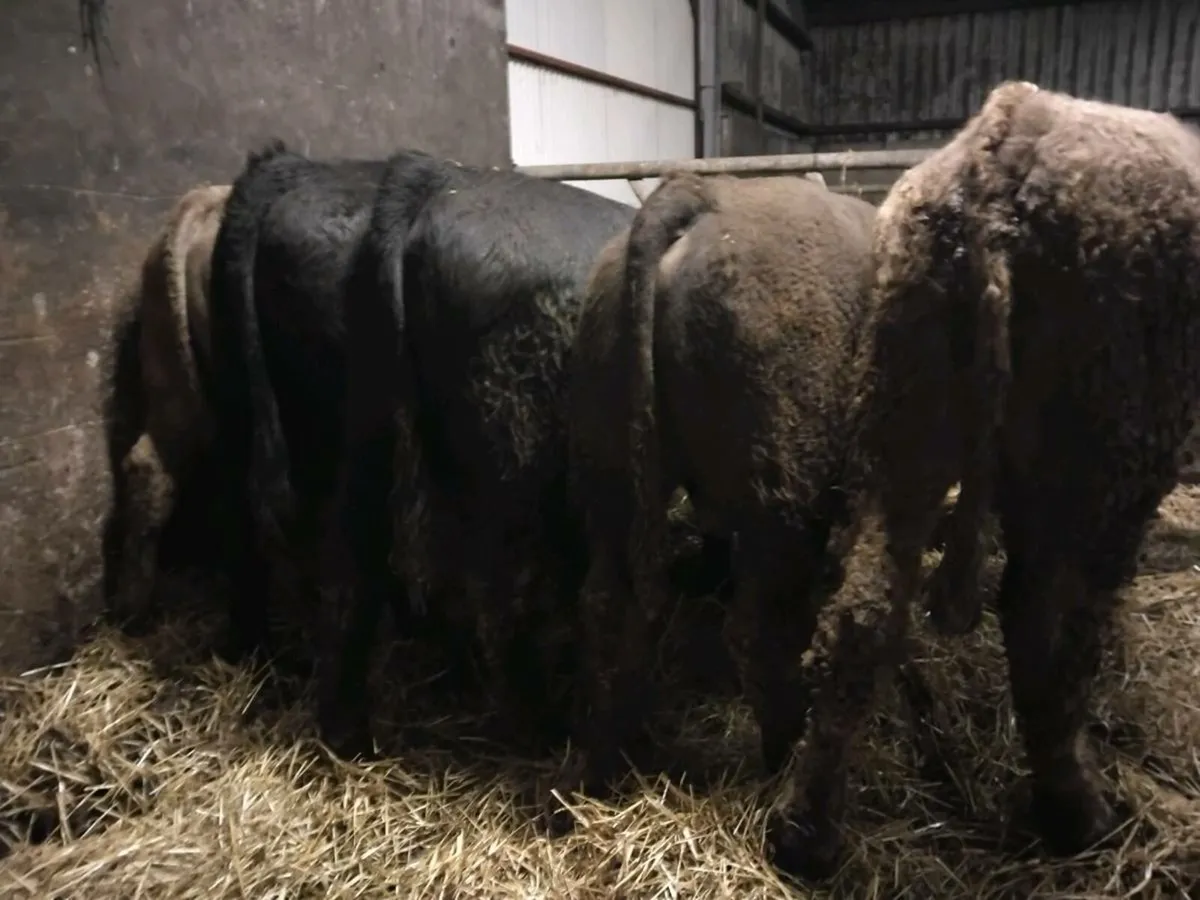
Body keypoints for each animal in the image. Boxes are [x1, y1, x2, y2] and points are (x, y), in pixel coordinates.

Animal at [317, 150, 636, 760]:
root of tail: (437, 179)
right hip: (515, 463)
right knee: (505, 600)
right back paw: (538, 728)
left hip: (369, 429)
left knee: (356, 564)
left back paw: (347, 730)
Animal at [547, 171, 878, 831]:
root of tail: (706, 198)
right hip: (781, 496)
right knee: (757, 629)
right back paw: (780, 747)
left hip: (609, 470)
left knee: (606, 605)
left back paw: (592, 770)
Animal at [767, 81, 1200, 881]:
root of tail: (1006, 143)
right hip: (1106, 456)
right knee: (1058, 629)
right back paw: (1078, 812)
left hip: (906, 419)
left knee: (863, 616)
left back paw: (805, 837)